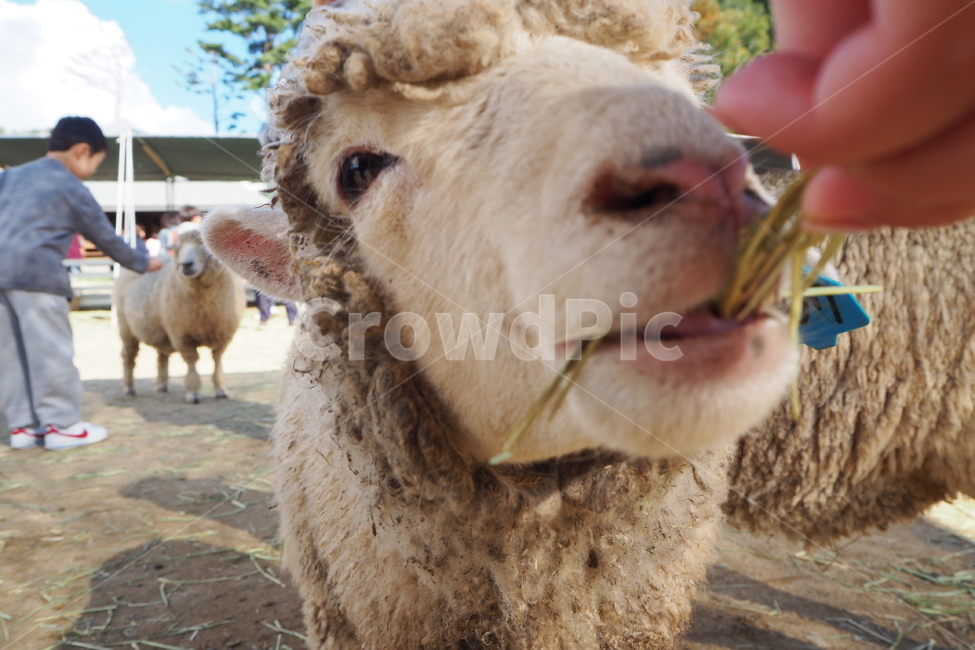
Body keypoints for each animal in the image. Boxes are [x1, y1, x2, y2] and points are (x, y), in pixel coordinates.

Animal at [114, 227, 246, 403]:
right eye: (177, 249)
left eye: (203, 246)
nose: (186, 264)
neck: (205, 307)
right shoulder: (182, 335)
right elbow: (192, 361)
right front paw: (193, 391)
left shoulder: (223, 334)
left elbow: (217, 360)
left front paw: (221, 389)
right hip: (126, 327)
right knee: (129, 356)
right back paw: (129, 388)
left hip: (160, 330)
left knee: (161, 355)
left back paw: (162, 385)